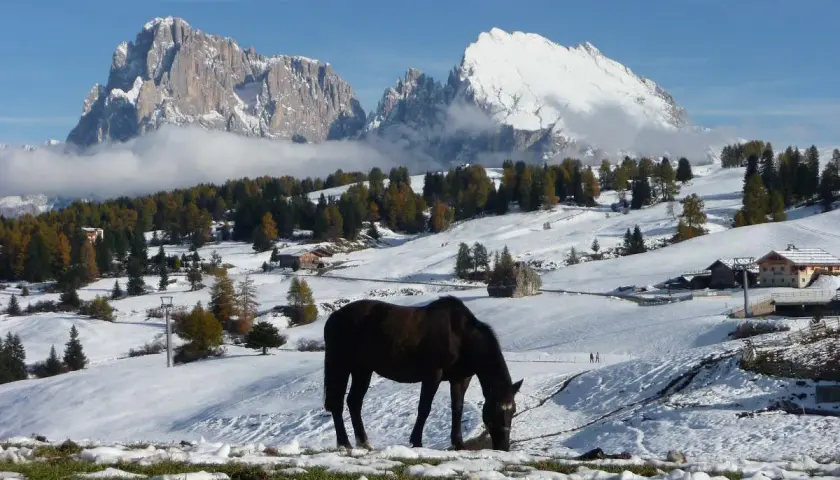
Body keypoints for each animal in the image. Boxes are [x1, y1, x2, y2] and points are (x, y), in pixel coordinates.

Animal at [322, 295, 523, 451]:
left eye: (513, 410)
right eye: (495, 410)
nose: (504, 447)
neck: (460, 336)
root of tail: (334, 317)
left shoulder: (460, 379)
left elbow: (457, 409)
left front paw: (458, 444)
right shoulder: (433, 375)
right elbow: (424, 408)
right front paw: (416, 442)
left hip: (362, 370)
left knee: (354, 402)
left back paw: (364, 443)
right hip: (340, 366)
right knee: (337, 404)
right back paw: (344, 444)